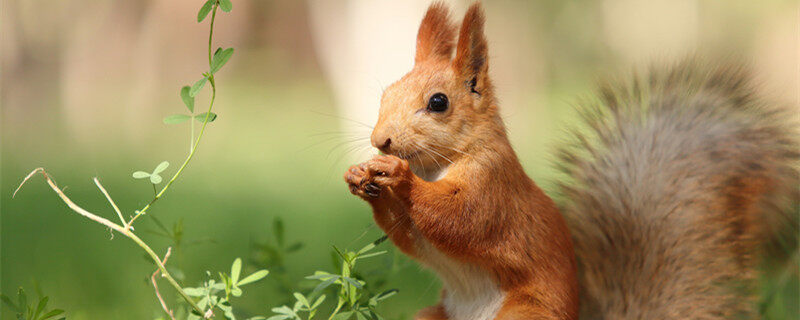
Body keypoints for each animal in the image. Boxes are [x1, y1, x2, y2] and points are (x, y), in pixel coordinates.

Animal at [342, 1, 792, 318]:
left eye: (439, 103)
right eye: (387, 93)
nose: (380, 141)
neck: (437, 166)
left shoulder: (494, 185)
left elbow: (460, 218)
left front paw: (398, 176)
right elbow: (409, 235)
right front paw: (360, 176)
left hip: (525, 315)